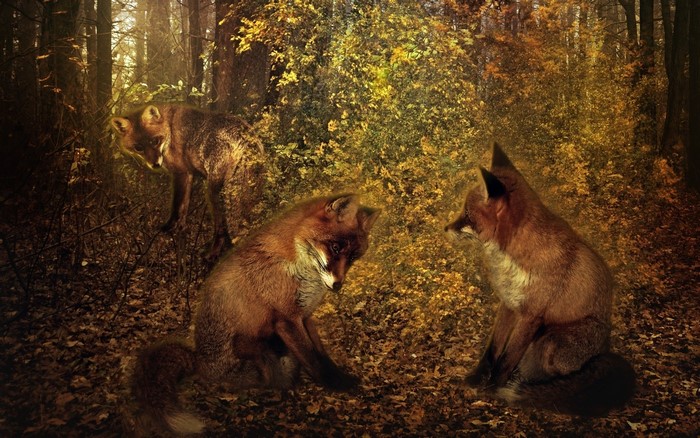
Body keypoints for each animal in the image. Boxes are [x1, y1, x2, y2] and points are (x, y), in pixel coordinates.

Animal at [111, 103, 265, 260]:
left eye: (155, 141)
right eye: (139, 147)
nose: (155, 164)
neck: (169, 128)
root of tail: (246, 136)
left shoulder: (180, 173)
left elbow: (176, 205)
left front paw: (168, 227)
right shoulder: (189, 174)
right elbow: (184, 206)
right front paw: (181, 228)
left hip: (213, 191)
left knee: (221, 225)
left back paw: (213, 253)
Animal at [133, 194, 380, 434]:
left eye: (352, 258)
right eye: (335, 248)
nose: (338, 286)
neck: (296, 264)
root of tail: (199, 362)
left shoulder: (306, 315)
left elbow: (321, 354)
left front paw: (340, 378)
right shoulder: (287, 319)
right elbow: (312, 358)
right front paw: (333, 385)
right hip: (252, 347)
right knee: (268, 375)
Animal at [444, 143, 635, 417]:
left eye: (467, 215)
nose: (445, 229)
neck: (513, 262)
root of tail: (605, 348)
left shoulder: (531, 315)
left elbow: (507, 358)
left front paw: (493, 389)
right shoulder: (508, 304)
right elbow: (493, 349)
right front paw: (477, 378)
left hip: (551, 342)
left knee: (562, 377)